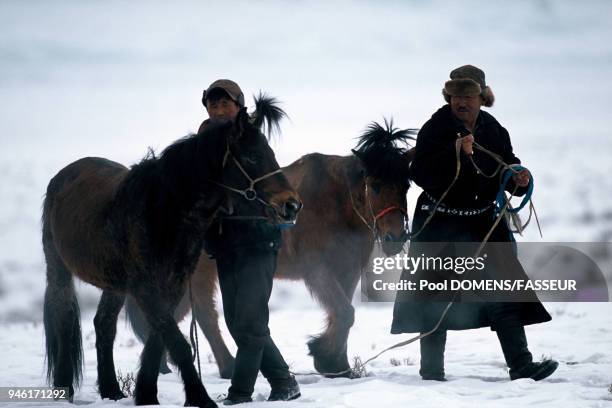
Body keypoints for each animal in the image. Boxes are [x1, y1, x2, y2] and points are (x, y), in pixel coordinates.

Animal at [40, 104, 302, 404]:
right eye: (252, 156)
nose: (292, 205)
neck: (163, 211)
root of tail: (62, 177)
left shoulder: (172, 286)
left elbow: (158, 339)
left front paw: (147, 395)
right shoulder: (146, 287)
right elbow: (178, 343)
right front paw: (199, 398)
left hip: (114, 285)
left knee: (104, 325)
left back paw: (111, 391)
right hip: (58, 269)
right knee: (63, 318)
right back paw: (64, 389)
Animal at [128, 119, 416, 378]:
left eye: (406, 185)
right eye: (375, 186)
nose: (396, 237)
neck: (335, 202)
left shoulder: (347, 270)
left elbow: (342, 314)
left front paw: (335, 363)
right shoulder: (317, 269)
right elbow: (345, 313)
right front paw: (325, 356)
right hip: (200, 274)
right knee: (206, 317)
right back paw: (227, 367)